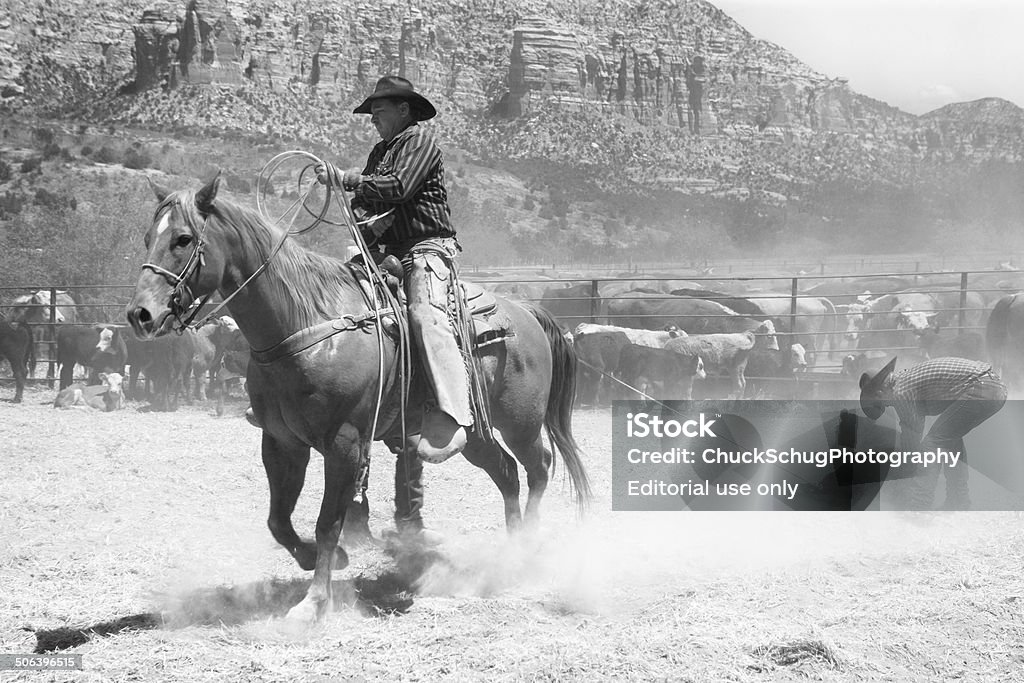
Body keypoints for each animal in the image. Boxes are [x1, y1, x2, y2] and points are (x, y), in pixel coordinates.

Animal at [125, 178, 593, 626]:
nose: (139, 315)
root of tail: (528, 312)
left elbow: (328, 523)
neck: (304, 323)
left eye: (183, 239)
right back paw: (510, 555)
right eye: (147, 236)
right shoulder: (281, 443)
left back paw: (528, 550)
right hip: (473, 432)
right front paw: (322, 560)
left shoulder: (345, 444)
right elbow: (279, 520)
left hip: (520, 422)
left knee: (538, 467)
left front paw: (313, 604)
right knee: (507, 474)